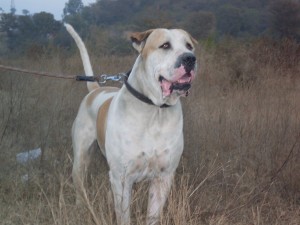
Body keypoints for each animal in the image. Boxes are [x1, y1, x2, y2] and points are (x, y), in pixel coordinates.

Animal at [65, 23, 197, 224]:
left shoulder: (163, 177)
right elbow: (124, 216)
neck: (155, 110)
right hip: (81, 157)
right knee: (79, 181)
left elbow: (153, 215)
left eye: (189, 46)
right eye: (165, 46)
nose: (190, 58)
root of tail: (96, 89)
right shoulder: (121, 179)